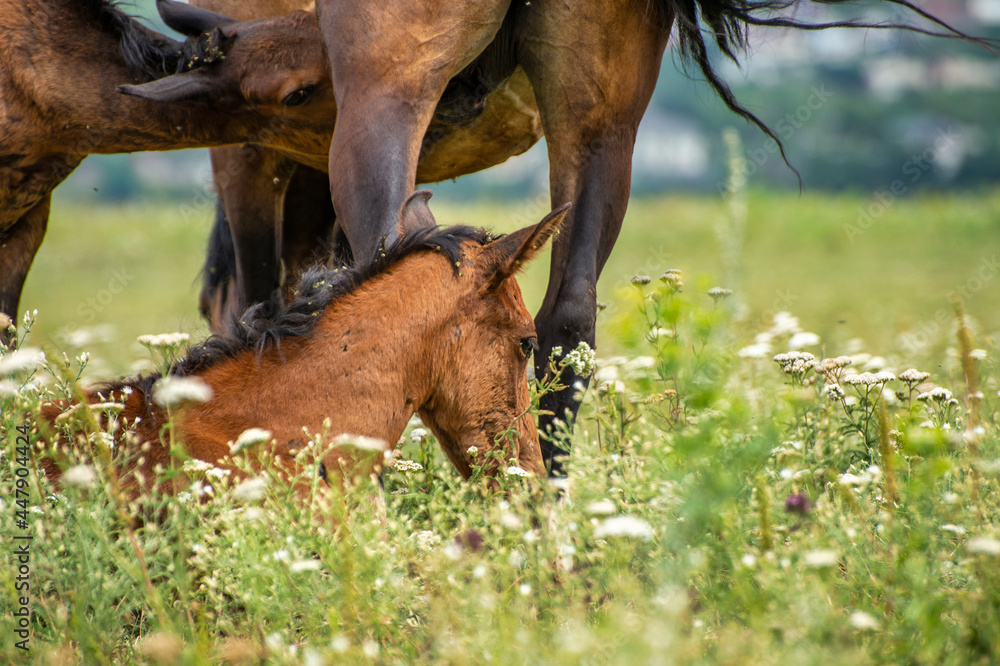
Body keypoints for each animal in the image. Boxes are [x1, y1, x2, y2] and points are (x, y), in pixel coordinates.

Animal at [129, 0, 991, 474]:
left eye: (299, 89)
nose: (467, 94)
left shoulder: (251, 152)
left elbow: (262, 304)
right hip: (603, 104)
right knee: (567, 315)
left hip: (387, 79)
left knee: (390, 249)